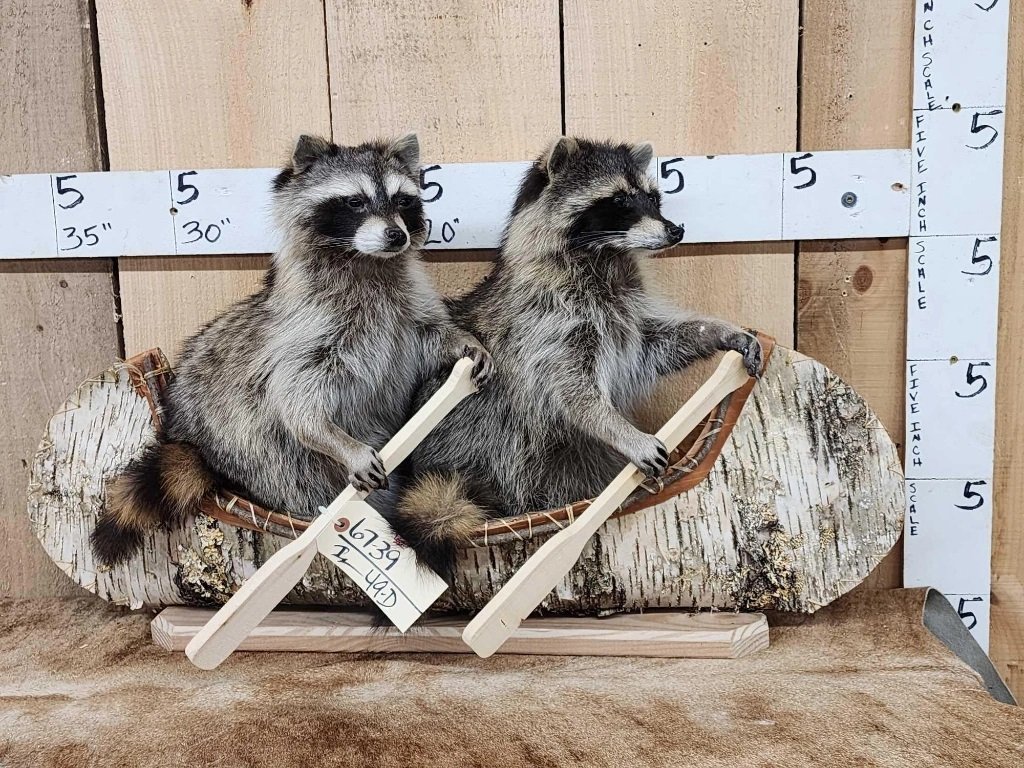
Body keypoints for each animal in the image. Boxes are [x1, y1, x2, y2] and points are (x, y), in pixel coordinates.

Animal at [92, 133, 492, 567]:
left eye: (403, 201)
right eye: (355, 202)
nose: (396, 236)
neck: (365, 261)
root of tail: (190, 439)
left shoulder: (409, 306)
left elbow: (430, 335)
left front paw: (463, 343)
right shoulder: (305, 329)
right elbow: (295, 400)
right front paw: (340, 442)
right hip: (270, 462)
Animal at [387, 137, 761, 577]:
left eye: (654, 199)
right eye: (619, 201)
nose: (675, 229)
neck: (606, 256)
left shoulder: (624, 316)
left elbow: (655, 346)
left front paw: (715, 331)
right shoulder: (543, 323)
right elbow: (570, 389)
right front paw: (617, 428)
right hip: (482, 447)